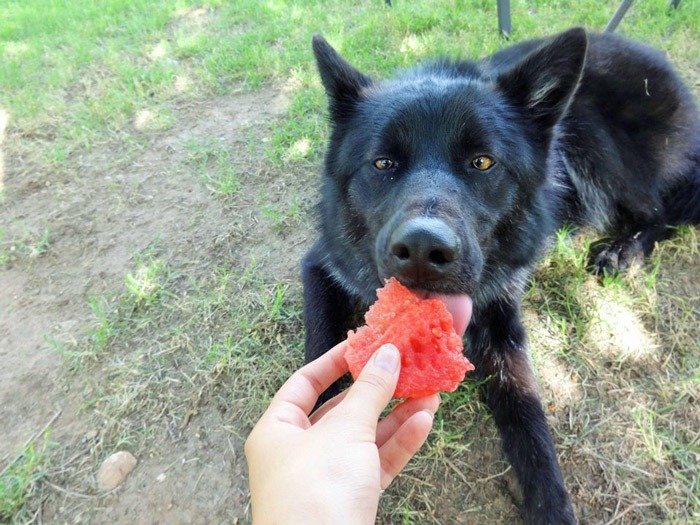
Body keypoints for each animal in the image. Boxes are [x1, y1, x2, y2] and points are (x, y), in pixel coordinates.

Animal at [300, 29, 700, 524]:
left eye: (483, 162)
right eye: (382, 164)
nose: (423, 251)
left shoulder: (501, 323)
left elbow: (529, 417)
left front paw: (552, 506)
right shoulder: (320, 268)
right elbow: (320, 354)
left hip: (597, 143)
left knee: (664, 210)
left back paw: (621, 251)